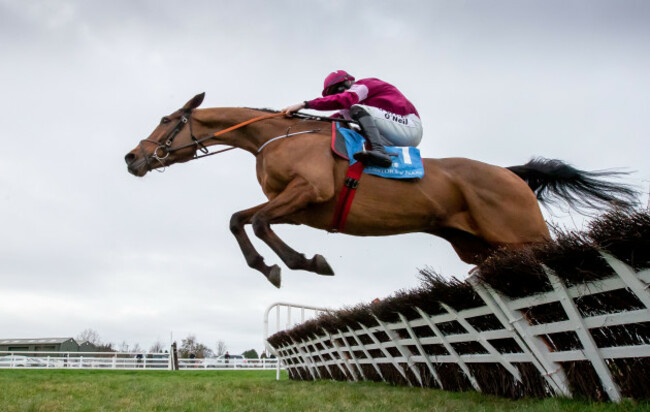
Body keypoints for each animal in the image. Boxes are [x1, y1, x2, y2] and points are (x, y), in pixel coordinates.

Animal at [124, 93, 636, 286]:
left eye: (167, 119)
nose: (132, 157)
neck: (275, 135)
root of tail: (511, 173)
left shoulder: (308, 192)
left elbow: (261, 221)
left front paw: (304, 262)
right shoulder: (299, 207)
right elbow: (242, 219)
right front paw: (270, 266)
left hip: (523, 234)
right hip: (482, 248)